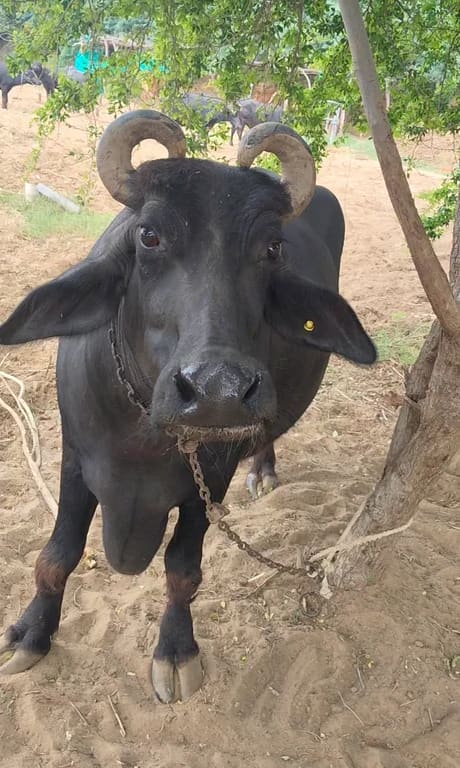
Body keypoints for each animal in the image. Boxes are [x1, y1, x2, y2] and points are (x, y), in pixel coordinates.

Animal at [0, 110, 376, 702]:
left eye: (273, 248)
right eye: (149, 235)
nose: (217, 389)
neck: (143, 434)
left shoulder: (210, 479)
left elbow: (183, 568)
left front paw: (176, 649)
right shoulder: (75, 460)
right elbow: (57, 555)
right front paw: (32, 633)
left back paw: (264, 471)